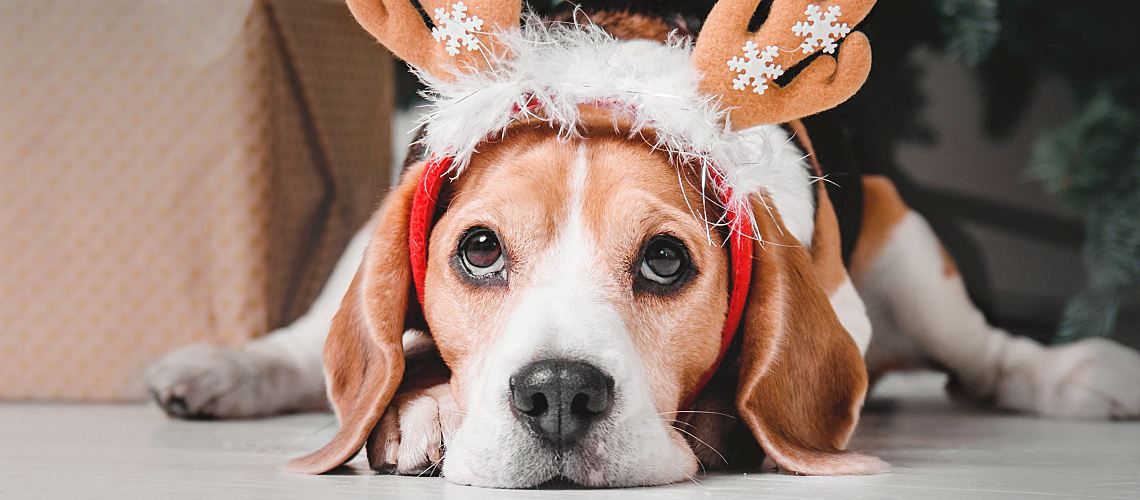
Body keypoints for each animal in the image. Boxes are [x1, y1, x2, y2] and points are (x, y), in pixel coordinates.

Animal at [144, 0, 1140, 489]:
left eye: (666, 261)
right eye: (478, 250)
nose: (557, 395)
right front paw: (422, 409)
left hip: (906, 245)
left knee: (993, 357)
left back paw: (1084, 374)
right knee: (301, 348)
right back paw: (219, 370)